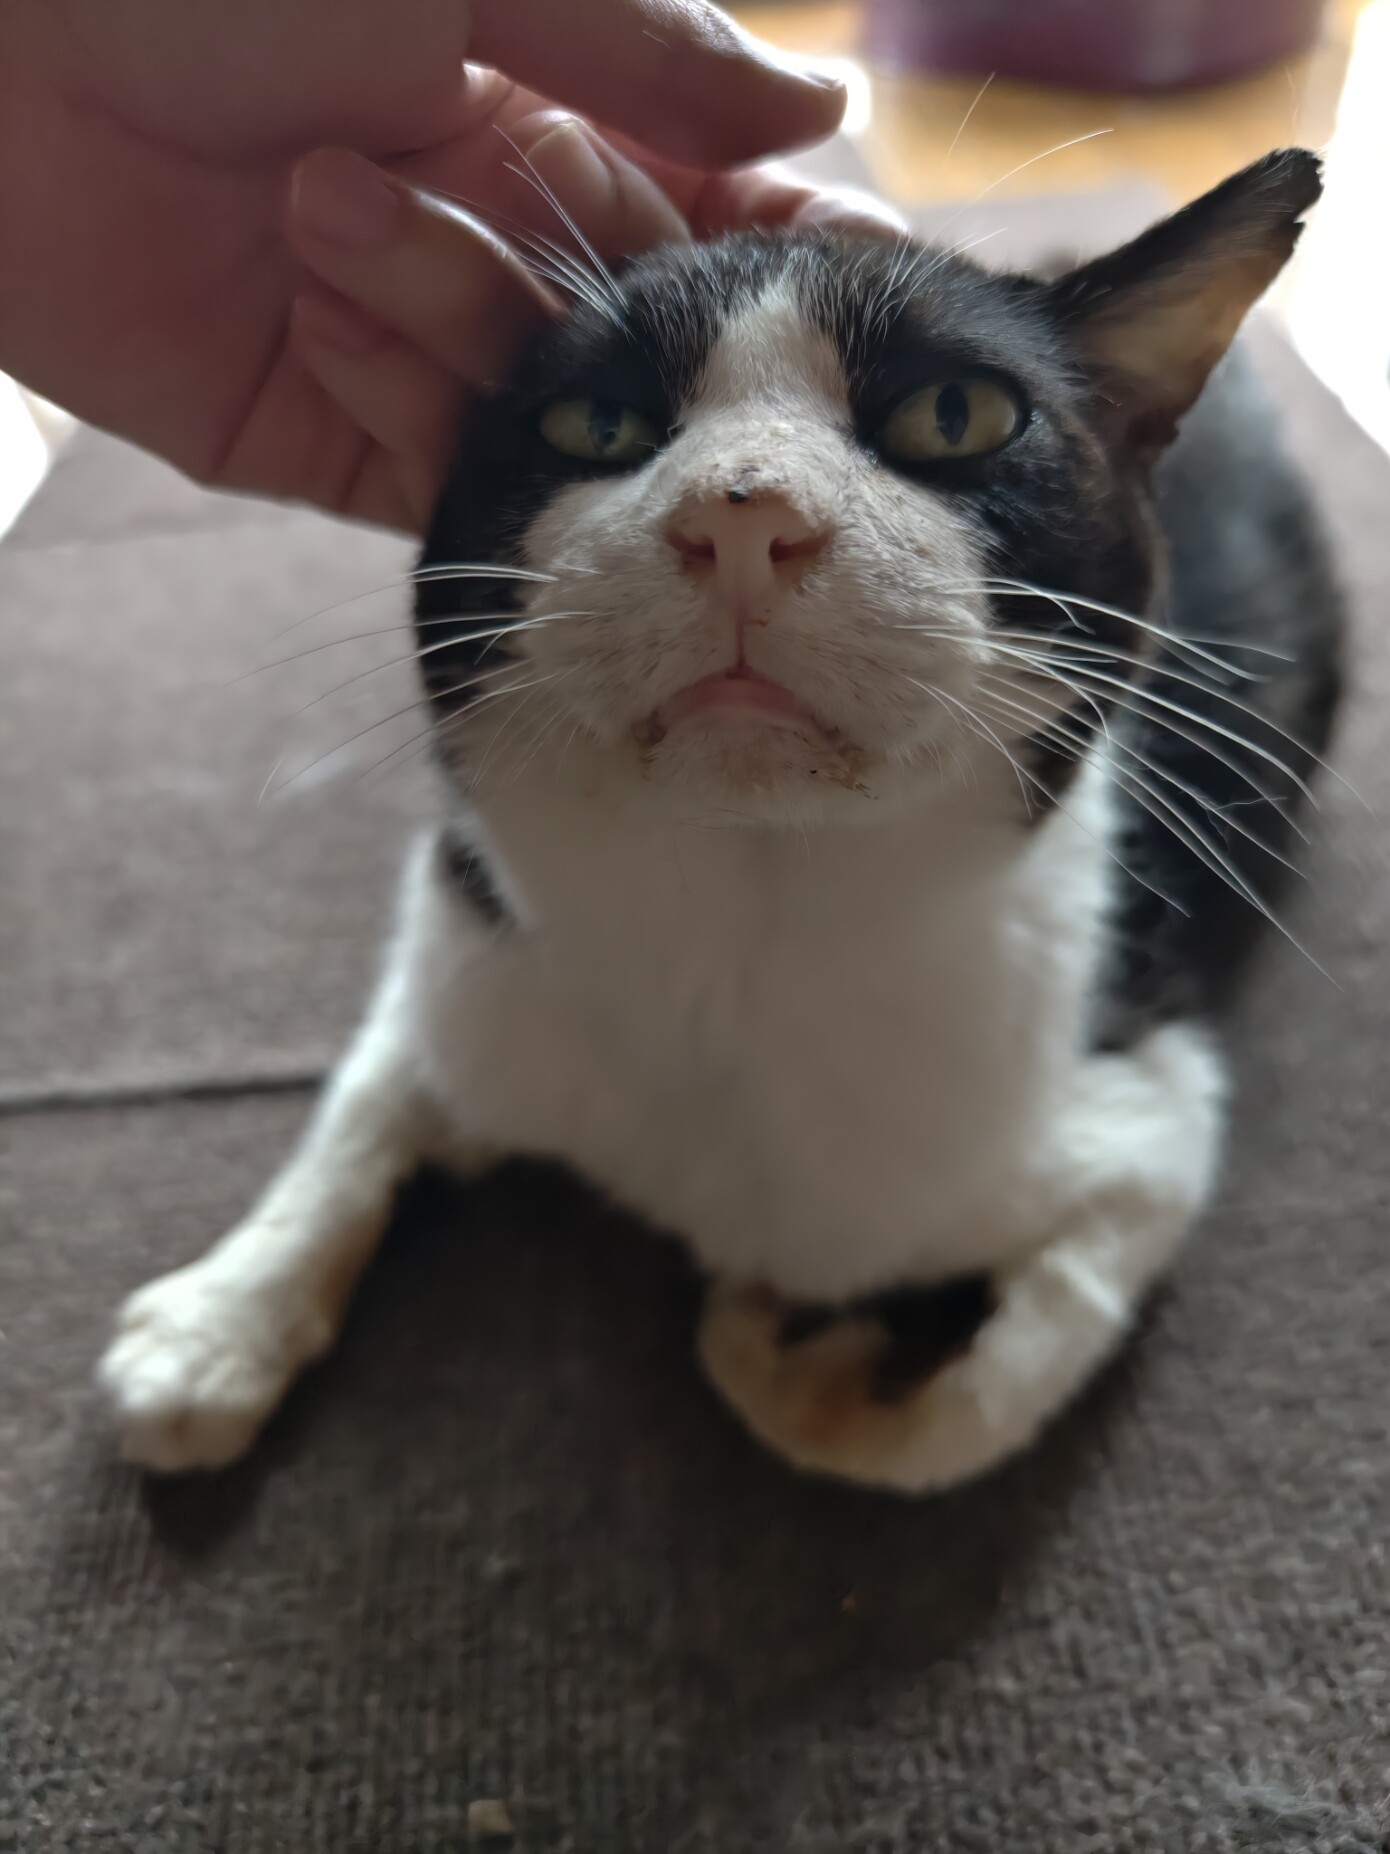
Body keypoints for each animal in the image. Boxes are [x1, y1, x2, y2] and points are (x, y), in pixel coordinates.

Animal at [99, 148, 1343, 1494]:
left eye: (954, 413)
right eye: (595, 423)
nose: (745, 510)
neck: (740, 941)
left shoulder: (1144, 1119)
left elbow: (953, 1413)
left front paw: (793, 1349)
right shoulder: (471, 955)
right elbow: (367, 1100)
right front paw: (219, 1325)